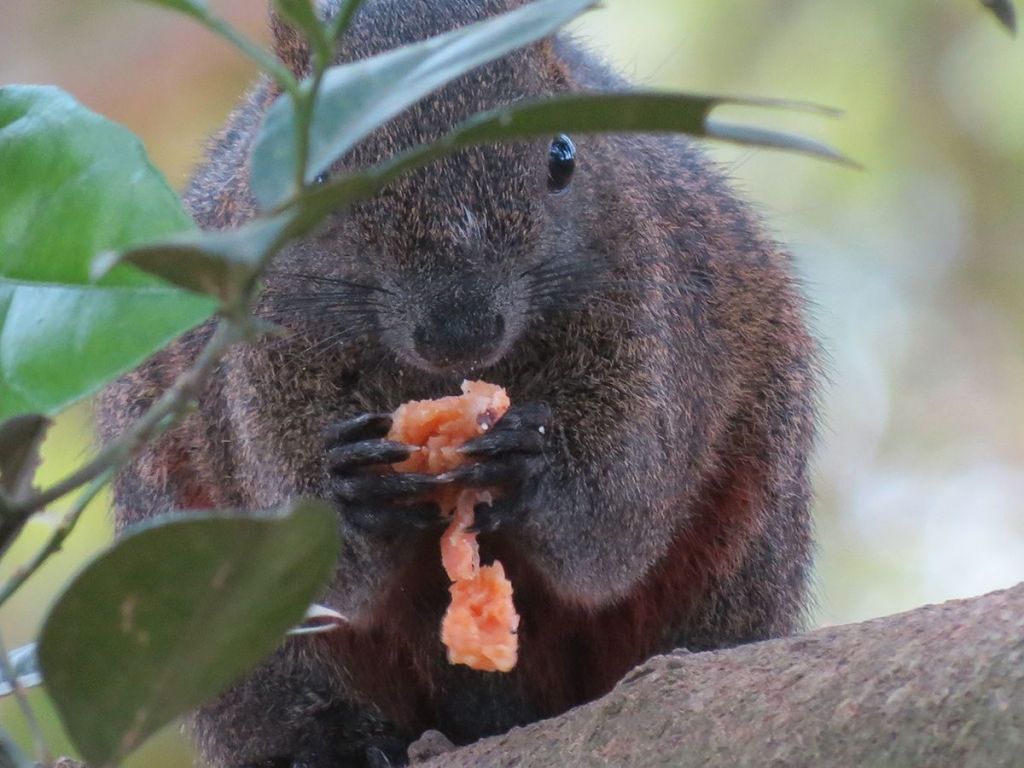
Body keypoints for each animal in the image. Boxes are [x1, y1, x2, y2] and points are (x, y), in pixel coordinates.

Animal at [96, 1, 815, 768]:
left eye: (563, 155)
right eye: (312, 179)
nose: (459, 331)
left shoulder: (654, 313)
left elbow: (618, 517)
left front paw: (530, 462)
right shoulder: (252, 358)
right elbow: (316, 558)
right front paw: (351, 486)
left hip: (744, 538)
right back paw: (330, 742)